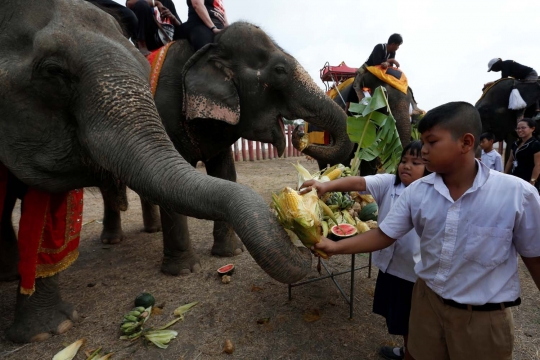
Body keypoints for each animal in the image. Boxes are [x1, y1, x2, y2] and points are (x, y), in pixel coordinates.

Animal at [100, 21, 354, 276]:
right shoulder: (165, 114)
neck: (209, 47)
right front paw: (183, 271)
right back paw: (112, 241)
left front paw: (230, 253)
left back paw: (148, 231)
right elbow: (166, 178)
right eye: (280, 70)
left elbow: (225, 174)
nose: (300, 131)